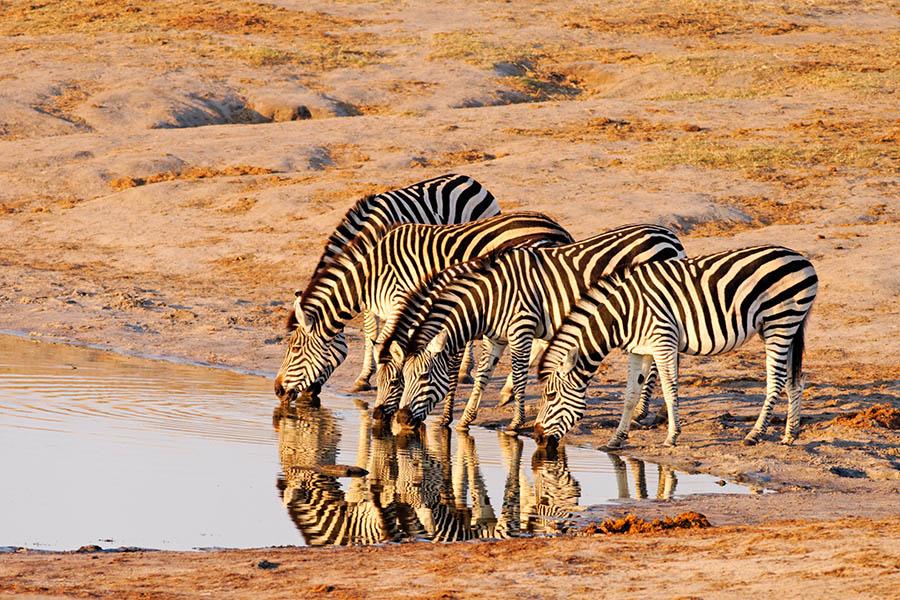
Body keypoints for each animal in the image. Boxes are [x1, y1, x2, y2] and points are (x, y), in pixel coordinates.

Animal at [275, 173, 501, 400]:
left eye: (295, 349)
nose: (278, 391)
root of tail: (468, 179)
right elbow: (372, 333)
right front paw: (367, 377)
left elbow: (380, 337)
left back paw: (464, 370)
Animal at [275, 212, 573, 405]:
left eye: (295, 349)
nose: (277, 390)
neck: (371, 273)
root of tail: (558, 228)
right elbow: (382, 343)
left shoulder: (400, 300)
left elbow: (383, 344)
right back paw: (509, 390)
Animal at [381, 224, 686, 431]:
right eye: (403, 377)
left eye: (421, 377)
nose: (401, 419)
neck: (488, 298)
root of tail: (668, 235)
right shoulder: (496, 337)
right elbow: (482, 374)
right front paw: (466, 418)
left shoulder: (521, 327)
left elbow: (517, 375)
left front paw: (515, 422)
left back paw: (643, 412)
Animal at [533, 245, 818, 452]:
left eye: (550, 396)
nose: (536, 437)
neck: (623, 314)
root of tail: (801, 259)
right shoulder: (639, 350)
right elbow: (630, 394)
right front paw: (616, 439)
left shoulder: (663, 342)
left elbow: (670, 391)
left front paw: (672, 437)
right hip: (785, 327)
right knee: (796, 380)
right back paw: (789, 435)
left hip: (780, 323)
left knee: (777, 381)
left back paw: (754, 434)